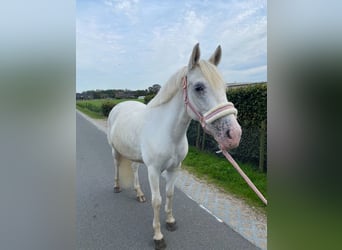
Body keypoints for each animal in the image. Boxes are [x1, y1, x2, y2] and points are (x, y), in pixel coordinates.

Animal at [108, 44, 242, 249]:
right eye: (199, 87)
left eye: (225, 87)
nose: (233, 134)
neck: (167, 132)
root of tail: (119, 106)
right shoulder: (154, 170)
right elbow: (157, 201)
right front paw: (158, 237)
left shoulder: (175, 168)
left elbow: (170, 194)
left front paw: (170, 222)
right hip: (115, 151)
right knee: (116, 166)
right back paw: (116, 187)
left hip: (134, 155)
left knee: (134, 168)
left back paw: (139, 194)